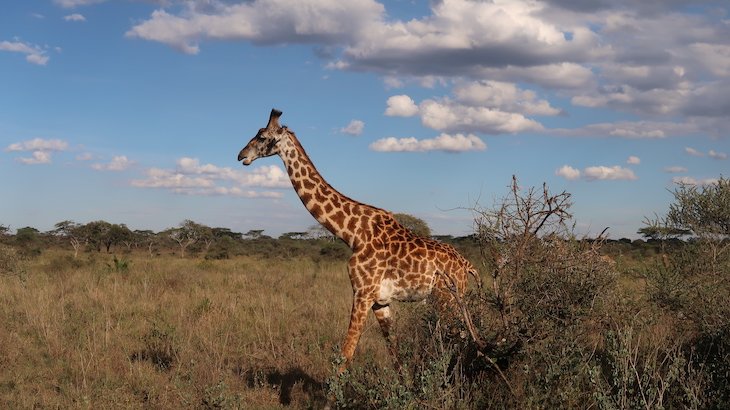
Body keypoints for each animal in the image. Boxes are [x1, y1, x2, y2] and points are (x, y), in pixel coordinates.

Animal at [236, 109, 480, 372]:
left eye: (262, 136)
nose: (241, 155)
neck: (352, 233)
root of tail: (466, 265)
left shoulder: (362, 293)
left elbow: (346, 355)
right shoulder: (380, 301)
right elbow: (394, 352)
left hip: (447, 298)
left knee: (463, 335)